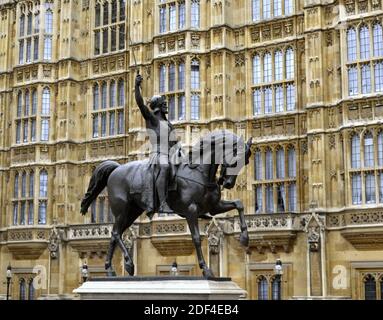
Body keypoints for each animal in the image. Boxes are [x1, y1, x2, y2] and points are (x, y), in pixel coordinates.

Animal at [80, 130, 254, 278]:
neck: (199, 172)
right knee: (116, 233)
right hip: (122, 210)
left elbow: (239, 204)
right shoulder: (191, 211)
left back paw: (111, 268)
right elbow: (196, 238)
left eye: (246, 161)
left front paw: (245, 237)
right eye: (236, 158)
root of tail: (117, 168)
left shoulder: (213, 208)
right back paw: (126, 265)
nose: (228, 183)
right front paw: (206, 269)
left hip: (132, 212)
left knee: (115, 234)